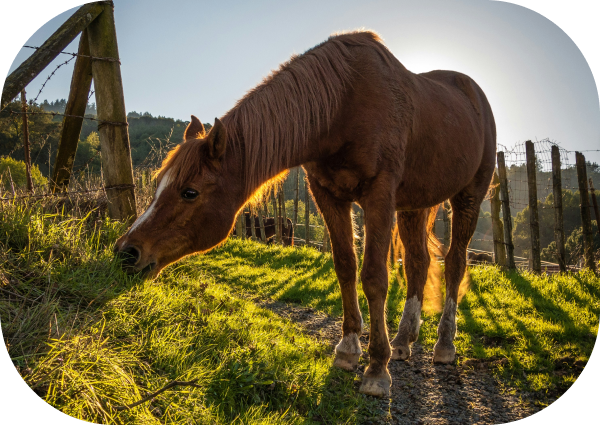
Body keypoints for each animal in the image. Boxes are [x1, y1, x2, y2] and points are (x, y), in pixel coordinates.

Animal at [115, 30, 494, 398]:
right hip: (415, 205)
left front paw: (376, 369)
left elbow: (374, 276)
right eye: (157, 183)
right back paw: (403, 341)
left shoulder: (379, 195)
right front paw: (348, 349)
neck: (343, 105)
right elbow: (345, 267)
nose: (126, 252)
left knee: (455, 263)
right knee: (418, 262)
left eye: (189, 192)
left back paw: (444, 344)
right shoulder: (328, 195)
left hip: (468, 197)